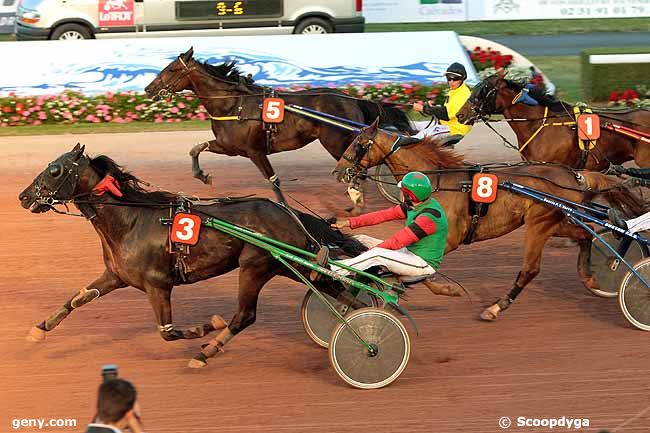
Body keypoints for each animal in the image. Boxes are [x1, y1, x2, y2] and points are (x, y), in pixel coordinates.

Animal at [19, 145, 364, 368]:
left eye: (55, 170)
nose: (24, 196)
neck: (131, 220)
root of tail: (288, 213)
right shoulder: (116, 276)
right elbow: (77, 299)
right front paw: (38, 329)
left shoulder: (158, 285)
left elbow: (168, 332)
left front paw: (206, 327)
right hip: (289, 266)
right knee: (338, 291)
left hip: (255, 266)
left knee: (245, 316)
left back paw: (206, 352)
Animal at [144, 45, 412, 211]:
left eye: (172, 69)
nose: (148, 88)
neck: (234, 104)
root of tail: (352, 99)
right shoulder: (229, 146)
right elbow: (196, 148)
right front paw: (202, 175)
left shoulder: (254, 151)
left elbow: (273, 180)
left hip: (338, 142)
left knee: (359, 168)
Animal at [332, 118, 640, 320]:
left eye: (359, 144)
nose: (338, 171)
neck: (440, 182)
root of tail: (575, 175)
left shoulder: (450, 239)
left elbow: (423, 272)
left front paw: (448, 290)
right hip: (558, 222)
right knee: (585, 235)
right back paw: (589, 277)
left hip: (539, 224)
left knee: (530, 269)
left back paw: (495, 307)